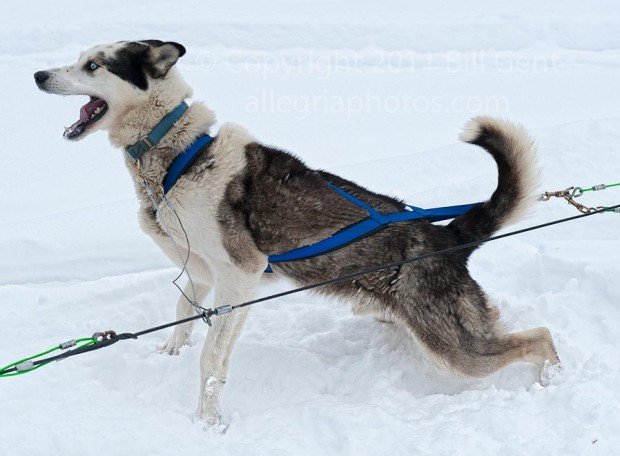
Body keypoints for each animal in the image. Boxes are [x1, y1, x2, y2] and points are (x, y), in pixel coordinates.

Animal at [35, 40, 560, 428]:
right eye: (78, 58)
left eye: (93, 64)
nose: (38, 75)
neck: (176, 154)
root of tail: (447, 237)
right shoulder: (200, 271)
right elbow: (183, 316)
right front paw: (169, 353)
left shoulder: (241, 276)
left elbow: (211, 359)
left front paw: (207, 423)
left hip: (454, 349)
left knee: (540, 336)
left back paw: (550, 383)